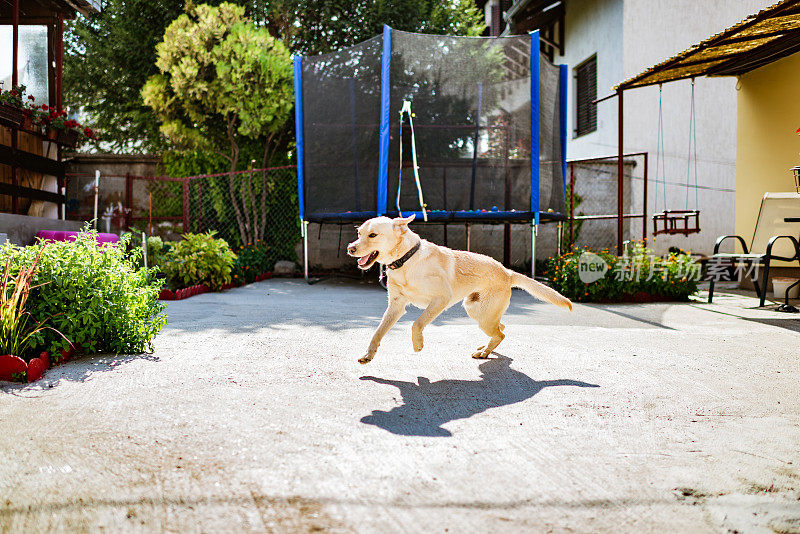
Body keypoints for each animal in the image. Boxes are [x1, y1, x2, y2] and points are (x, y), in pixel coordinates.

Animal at [346, 216, 572, 366]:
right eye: (359, 233)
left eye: (373, 235)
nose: (350, 248)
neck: (406, 261)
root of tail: (506, 272)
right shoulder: (396, 306)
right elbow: (377, 332)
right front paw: (368, 354)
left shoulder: (440, 299)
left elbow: (417, 323)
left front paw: (418, 344)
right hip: (476, 310)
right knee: (502, 327)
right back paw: (485, 348)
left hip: (483, 316)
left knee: (500, 333)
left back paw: (484, 352)